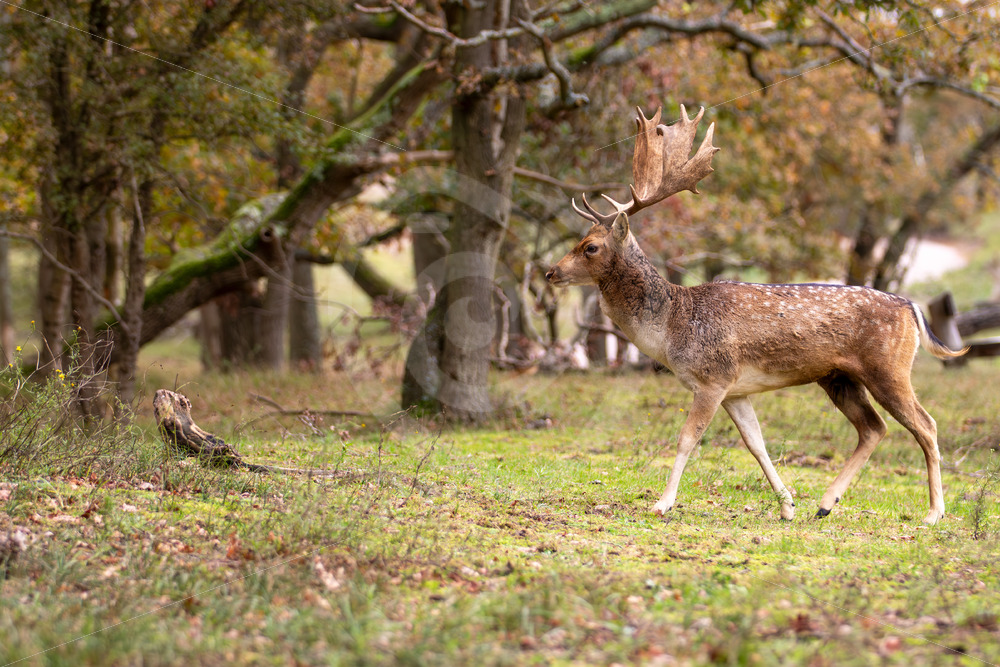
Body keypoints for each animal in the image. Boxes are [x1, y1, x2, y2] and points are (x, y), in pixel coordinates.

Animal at [545, 105, 966, 525]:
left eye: (590, 246)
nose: (550, 272)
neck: (672, 327)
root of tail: (912, 308)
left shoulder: (712, 378)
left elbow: (687, 439)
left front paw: (663, 503)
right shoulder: (736, 390)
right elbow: (756, 443)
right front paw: (787, 505)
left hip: (888, 368)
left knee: (926, 425)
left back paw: (933, 513)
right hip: (838, 377)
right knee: (874, 428)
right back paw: (824, 504)